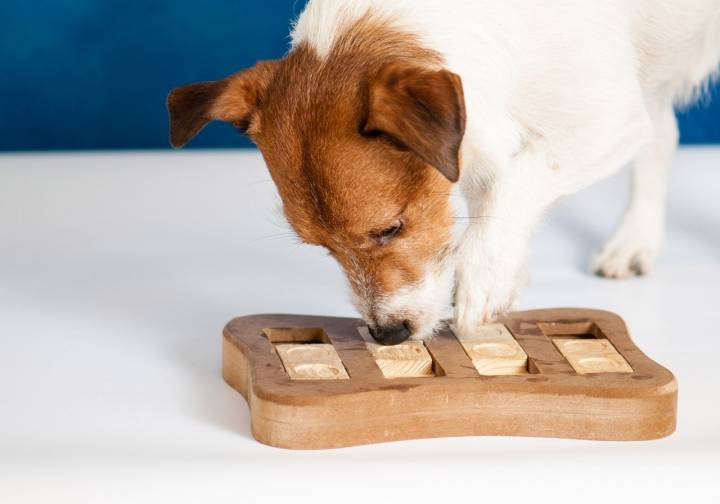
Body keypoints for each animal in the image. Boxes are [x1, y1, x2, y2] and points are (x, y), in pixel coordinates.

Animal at [167, 0, 720, 344]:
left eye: (391, 228)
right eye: (321, 247)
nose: (388, 336)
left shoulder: (610, 119)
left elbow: (520, 179)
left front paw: (486, 276)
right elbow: (491, 199)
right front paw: (503, 272)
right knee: (664, 135)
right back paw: (635, 242)